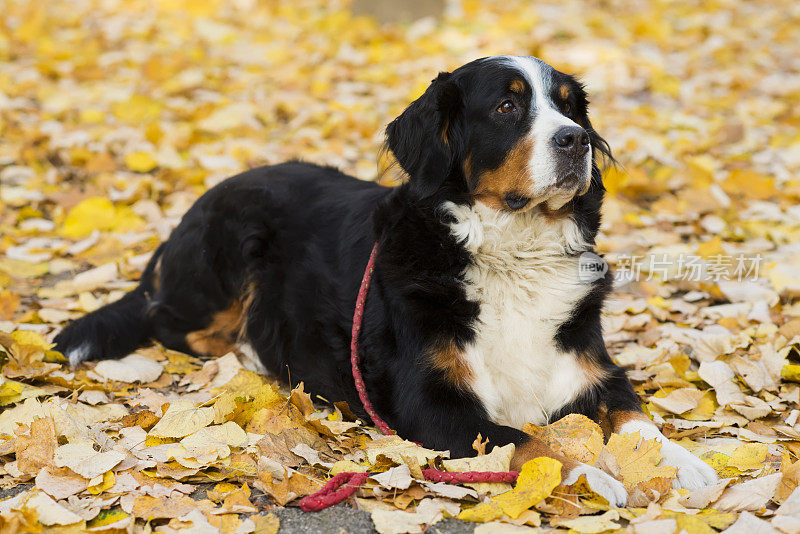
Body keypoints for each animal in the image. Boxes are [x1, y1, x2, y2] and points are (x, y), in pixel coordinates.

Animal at [57, 56, 720, 508]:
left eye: (569, 108)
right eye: (507, 108)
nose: (575, 140)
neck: (511, 254)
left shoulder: (589, 371)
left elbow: (635, 416)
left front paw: (683, 465)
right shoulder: (435, 407)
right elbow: (537, 444)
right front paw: (600, 474)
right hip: (224, 261)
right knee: (170, 323)